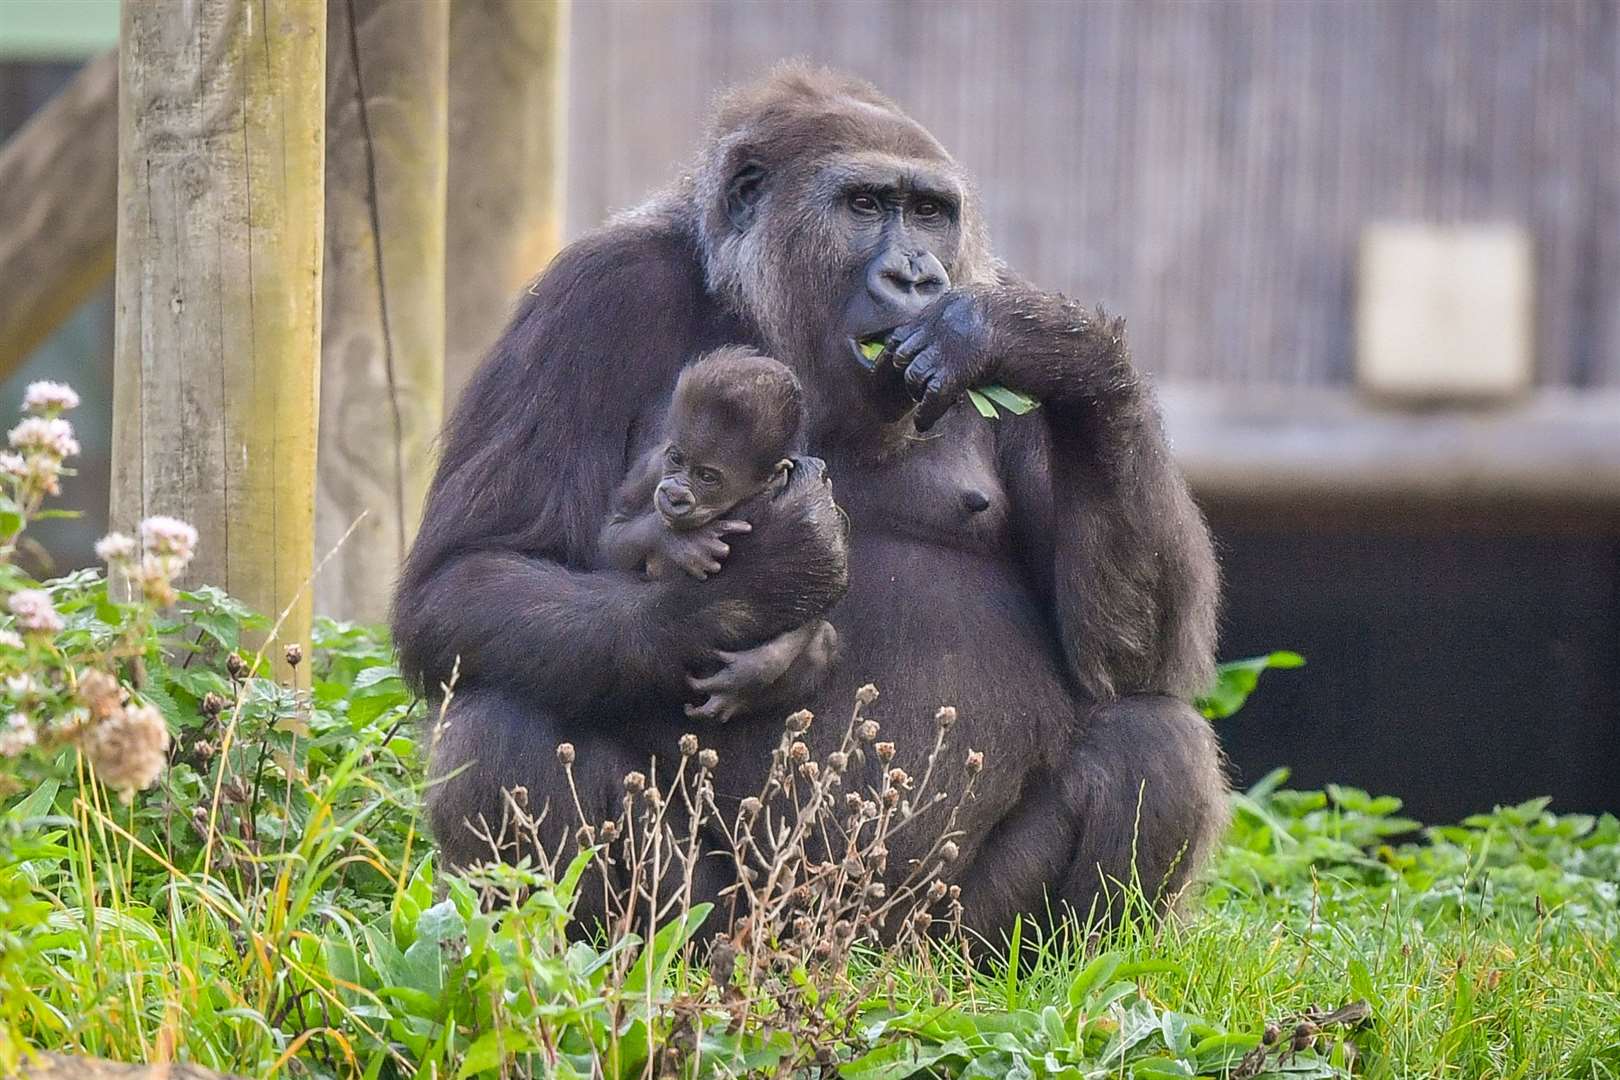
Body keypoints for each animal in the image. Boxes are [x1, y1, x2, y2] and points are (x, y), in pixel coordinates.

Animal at [602, 346, 803, 582]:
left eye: (707, 477)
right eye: (676, 458)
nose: (674, 493)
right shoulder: (652, 468)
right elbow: (614, 532)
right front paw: (679, 542)